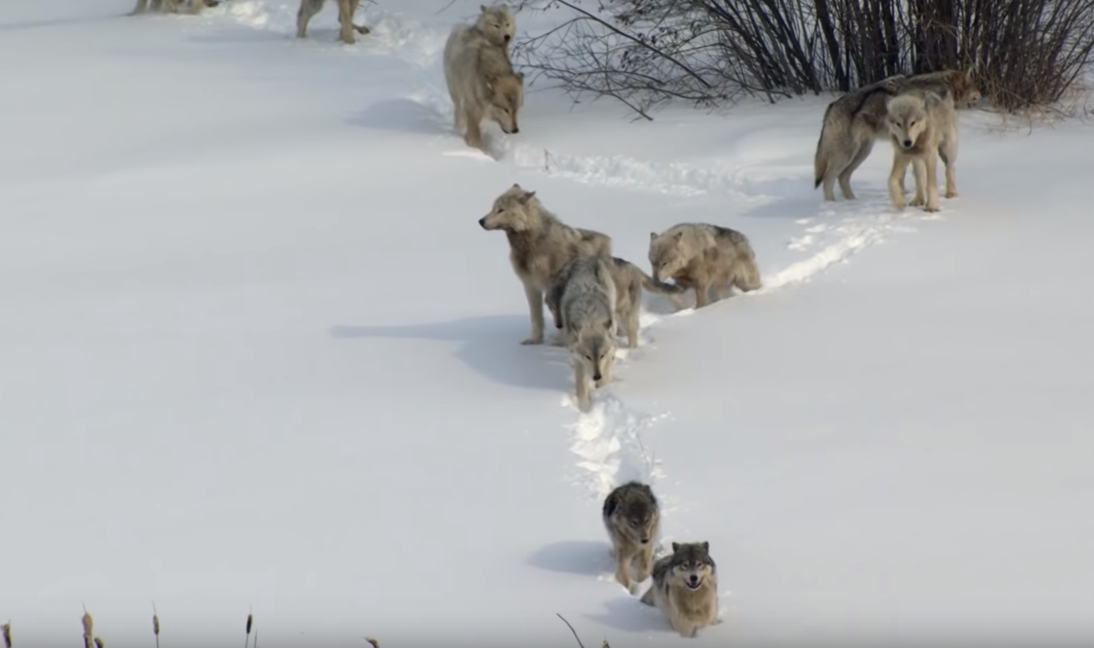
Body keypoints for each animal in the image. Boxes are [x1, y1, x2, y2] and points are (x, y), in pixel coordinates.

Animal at [441, 7, 522, 148]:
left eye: (516, 109)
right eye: (506, 110)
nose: (515, 130)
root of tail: (463, 27)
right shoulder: (472, 108)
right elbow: (474, 136)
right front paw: (475, 150)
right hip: (456, 92)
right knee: (458, 110)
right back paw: (459, 128)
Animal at [481, 184, 617, 345]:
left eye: (501, 210)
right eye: (493, 208)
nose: (480, 221)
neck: (530, 243)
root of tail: (607, 238)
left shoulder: (555, 286)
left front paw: (561, 342)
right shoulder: (530, 285)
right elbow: (536, 317)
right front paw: (534, 340)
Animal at [542, 257, 678, 350]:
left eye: (558, 307)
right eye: (553, 308)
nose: (559, 325)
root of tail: (634, 266)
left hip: (626, 315)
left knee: (632, 334)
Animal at [813, 67, 984, 201]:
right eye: (975, 86)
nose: (980, 95)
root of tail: (831, 107)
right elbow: (939, 170)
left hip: (861, 153)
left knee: (842, 177)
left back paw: (852, 201)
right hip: (845, 154)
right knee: (828, 180)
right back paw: (832, 205)